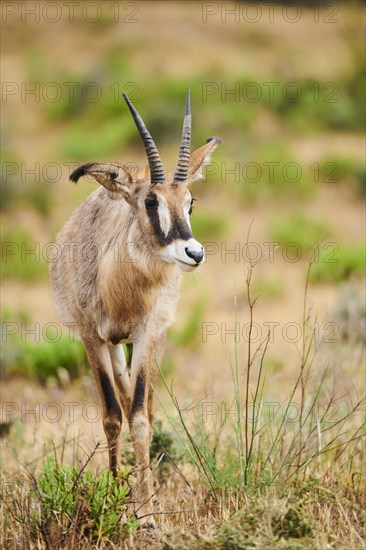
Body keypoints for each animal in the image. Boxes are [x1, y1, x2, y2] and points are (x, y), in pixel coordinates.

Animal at [50, 92, 222, 528]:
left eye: (190, 201)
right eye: (149, 200)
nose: (193, 253)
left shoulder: (146, 334)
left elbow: (141, 417)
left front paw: (145, 513)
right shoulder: (91, 337)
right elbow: (112, 415)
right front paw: (114, 499)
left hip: (149, 340)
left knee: (143, 406)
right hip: (113, 346)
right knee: (123, 401)